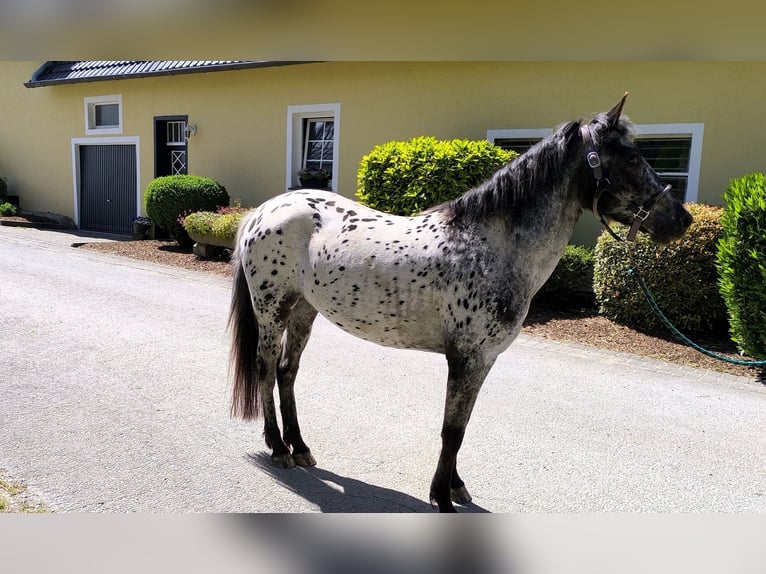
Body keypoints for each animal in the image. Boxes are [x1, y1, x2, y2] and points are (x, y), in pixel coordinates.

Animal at [228, 94, 693, 512]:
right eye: (630, 159)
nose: (682, 220)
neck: (490, 247)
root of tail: (263, 211)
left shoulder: (483, 360)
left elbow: (463, 427)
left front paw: (455, 487)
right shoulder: (467, 357)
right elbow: (451, 431)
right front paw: (442, 498)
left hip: (304, 309)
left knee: (287, 372)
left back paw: (301, 447)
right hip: (272, 308)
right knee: (266, 369)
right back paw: (279, 449)